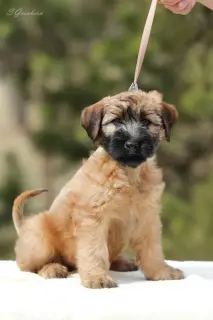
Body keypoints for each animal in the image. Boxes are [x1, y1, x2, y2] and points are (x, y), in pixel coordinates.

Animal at [12, 89, 184, 288]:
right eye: (116, 121)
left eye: (147, 122)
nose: (132, 144)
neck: (127, 173)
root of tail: (24, 229)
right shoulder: (94, 217)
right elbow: (94, 251)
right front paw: (97, 278)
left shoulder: (147, 217)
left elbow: (152, 249)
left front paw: (161, 272)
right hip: (40, 236)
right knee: (29, 266)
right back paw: (52, 268)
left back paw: (122, 262)